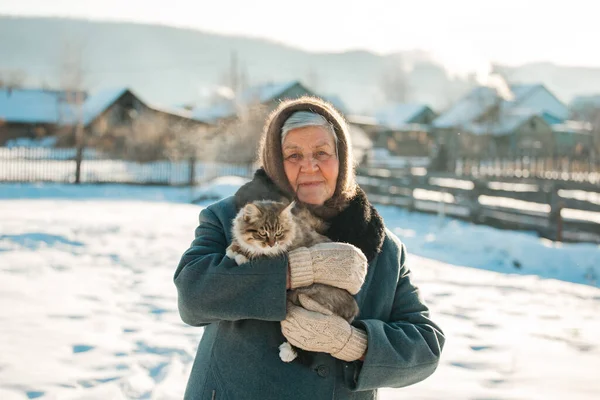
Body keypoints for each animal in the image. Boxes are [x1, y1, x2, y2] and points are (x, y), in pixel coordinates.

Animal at [226, 200, 358, 362]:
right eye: (263, 233)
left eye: (278, 233)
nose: (272, 244)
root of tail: (353, 308)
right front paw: (234, 248)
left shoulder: (281, 253)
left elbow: (259, 254)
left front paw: (242, 256)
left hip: (305, 294)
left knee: (306, 338)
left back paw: (288, 351)